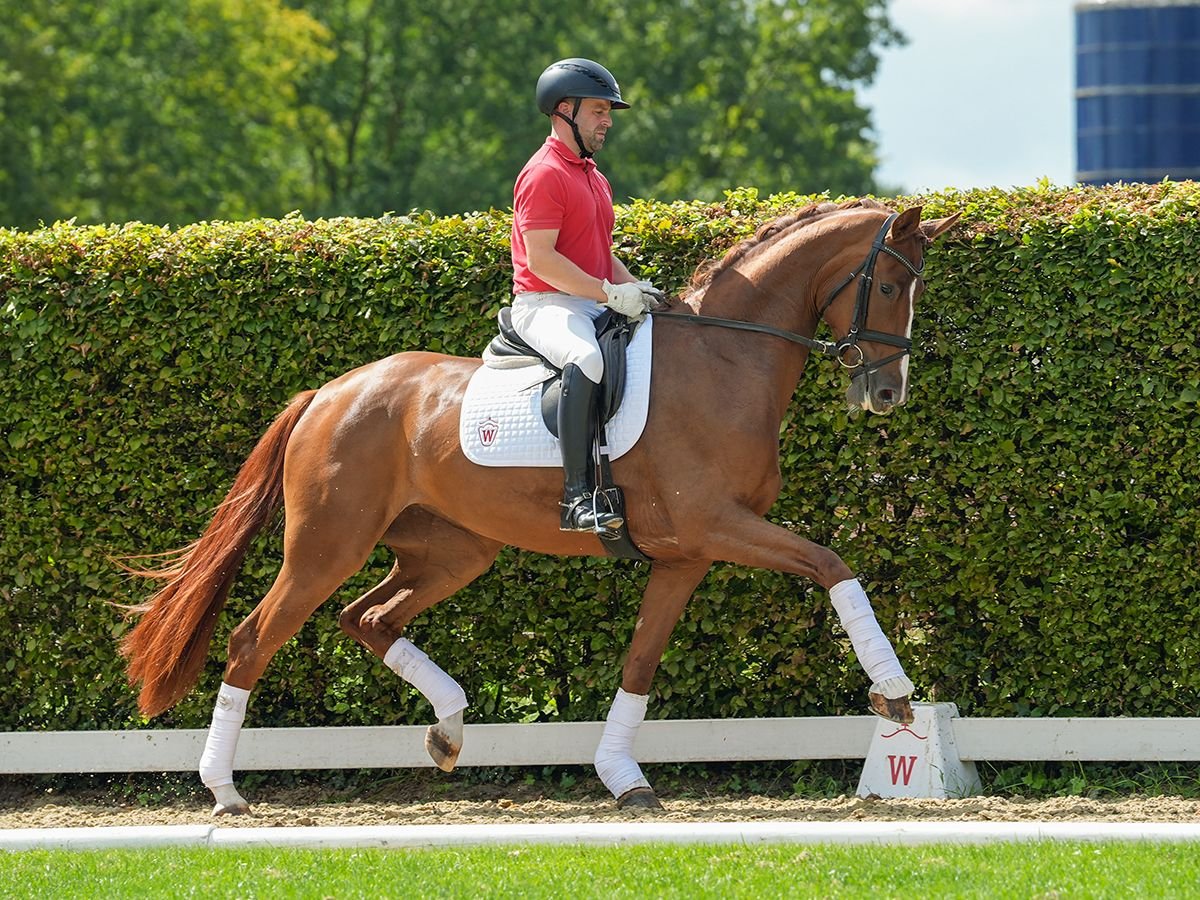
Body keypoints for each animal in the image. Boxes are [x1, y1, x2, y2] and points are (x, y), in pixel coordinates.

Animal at [121, 199, 960, 816]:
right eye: (889, 287)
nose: (887, 394)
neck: (724, 356)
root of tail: (327, 393)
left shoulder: (686, 555)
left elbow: (640, 663)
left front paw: (623, 778)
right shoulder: (718, 526)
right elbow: (832, 564)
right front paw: (895, 696)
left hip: (451, 550)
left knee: (368, 618)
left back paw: (449, 732)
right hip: (328, 545)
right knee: (253, 639)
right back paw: (225, 792)